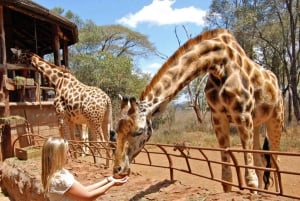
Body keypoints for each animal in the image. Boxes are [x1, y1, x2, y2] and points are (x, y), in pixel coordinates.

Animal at [112, 28, 284, 192]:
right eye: (115, 131)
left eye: (139, 131)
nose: (117, 169)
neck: (219, 63)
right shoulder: (218, 117)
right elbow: (226, 177)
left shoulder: (242, 114)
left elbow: (250, 178)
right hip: (256, 123)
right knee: (260, 161)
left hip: (275, 119)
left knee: (275, 162)